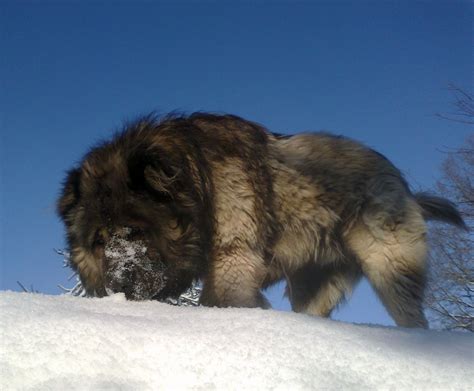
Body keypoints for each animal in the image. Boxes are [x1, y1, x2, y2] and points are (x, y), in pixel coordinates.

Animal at [57, 113, 464, 328]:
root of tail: (403, 184)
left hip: (390, 268)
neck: (198, 181)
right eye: (98, 241)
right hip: (312, 287)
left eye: (135, 230)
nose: (118, 286)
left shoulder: (233, 259)